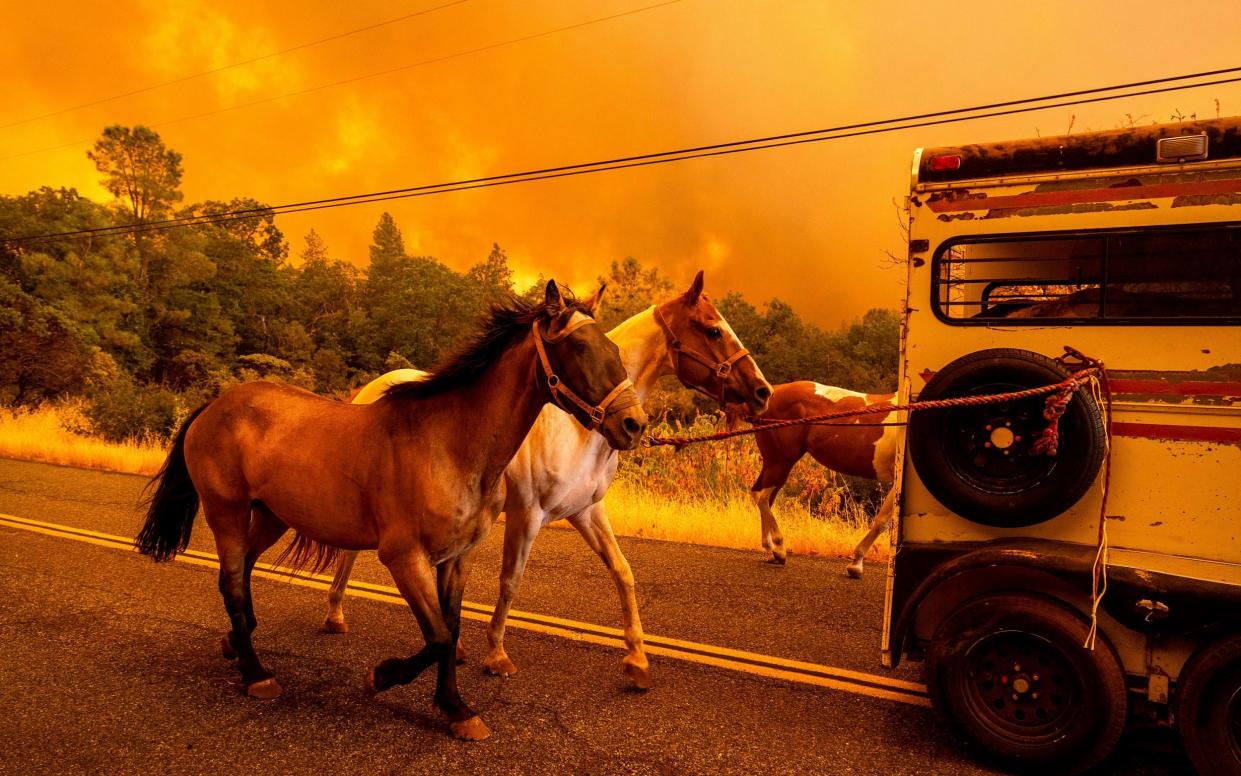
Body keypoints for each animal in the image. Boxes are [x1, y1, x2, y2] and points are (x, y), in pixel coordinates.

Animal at [133, 283, 650, 739]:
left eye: (613, 348)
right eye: (579, 347)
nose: (634, 424)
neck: (449, 443)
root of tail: (214, 405)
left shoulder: (455, 558)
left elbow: (450, 632)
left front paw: (455, 709)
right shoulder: (404, 557)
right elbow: (438, 636)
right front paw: (386, 679)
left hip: (271, 517)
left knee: (241, 574)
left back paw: (234, 645)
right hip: (227, 512)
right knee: (234, 584)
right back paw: (256, 673)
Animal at [322, 271, 764, 685]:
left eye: (615, 353)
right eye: (713, 329)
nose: (761, 391)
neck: (579, 432)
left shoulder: (587, 512)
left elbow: (623, 572)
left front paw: (637, 662)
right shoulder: (527, 516)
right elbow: (510, 581)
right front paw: (497, 655)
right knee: (350, 553)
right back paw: (336, 614)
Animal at [739, 382, 898, 576]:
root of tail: (772, 391)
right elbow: (882, 522)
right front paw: (856, 564)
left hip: (775, 463)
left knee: (762, 496)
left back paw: (770, 552)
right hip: (780, 461)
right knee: (762, 497)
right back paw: (779, 548)